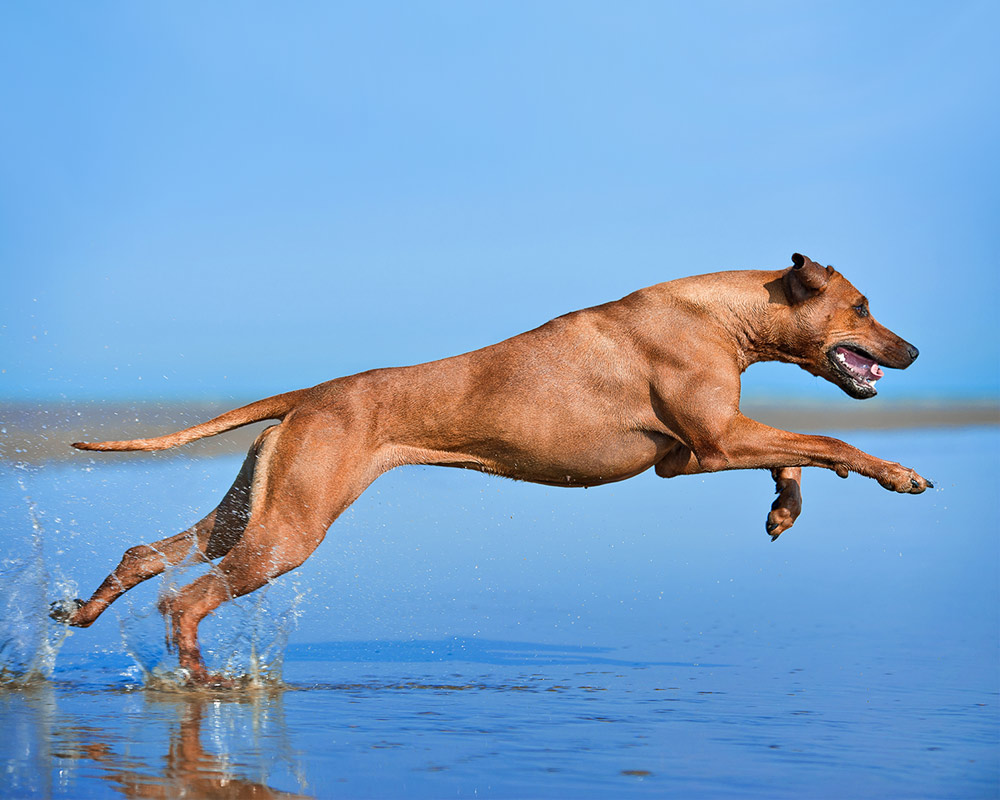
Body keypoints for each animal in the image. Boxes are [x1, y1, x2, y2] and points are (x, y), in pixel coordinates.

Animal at [52, 255, 928, 680]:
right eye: (862, 307)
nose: (915, 350)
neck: (722, 311)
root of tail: (315, 392)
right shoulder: (716, 440)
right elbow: (828, 440)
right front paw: (896, 474)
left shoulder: (689, 457)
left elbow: (800, 456)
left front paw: (785, 505)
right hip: (289, 531)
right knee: (186, 599)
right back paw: (201, 680)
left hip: (254, 508)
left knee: (152, 554)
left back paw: (85, 613)